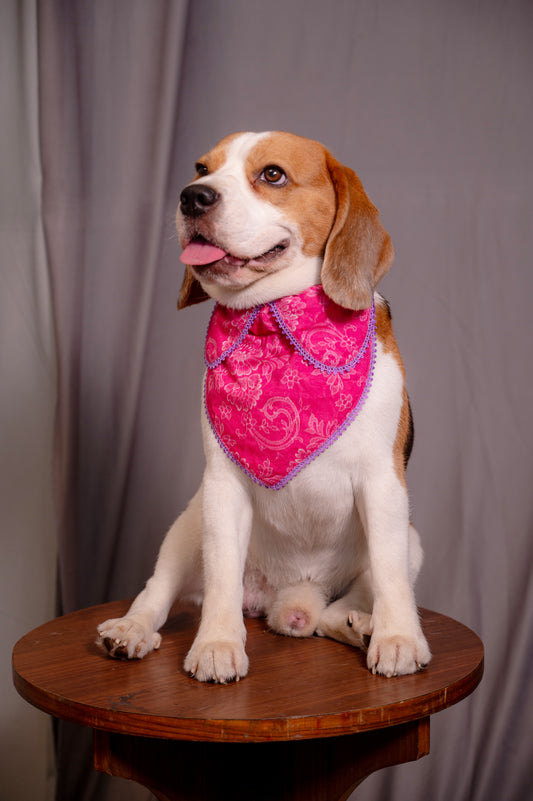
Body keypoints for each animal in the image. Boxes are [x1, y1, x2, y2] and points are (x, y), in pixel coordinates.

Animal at [97, 131, 430, 680]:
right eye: (201, 168)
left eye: (272, 174)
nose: (193, 197)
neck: (271, 319)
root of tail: (289, 597)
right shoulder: (221, 486)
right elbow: (220, 581)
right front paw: (217, 644)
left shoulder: (384, 484)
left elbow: (388, 574)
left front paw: (398, 637)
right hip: (188, 525)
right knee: (158, 591)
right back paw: (131, 629)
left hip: (411, 540)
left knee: (342, 606)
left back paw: (359, 624)